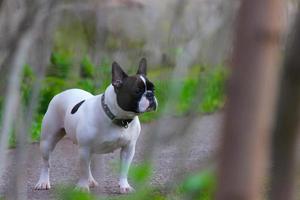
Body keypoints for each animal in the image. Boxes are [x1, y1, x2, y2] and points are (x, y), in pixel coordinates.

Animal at [34, 58, 157, 193]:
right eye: (137, 91)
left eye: (154, 89)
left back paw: (91, 180)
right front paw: (82, 187)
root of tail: (61, 93)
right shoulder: (84, 148)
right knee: (46, 163)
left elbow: (124, 169)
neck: (120, 119)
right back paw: (43, 182)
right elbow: (83, 170)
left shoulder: (128, 149)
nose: (150, 94)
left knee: (87, 164)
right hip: (47, 141)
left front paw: (124, 186)